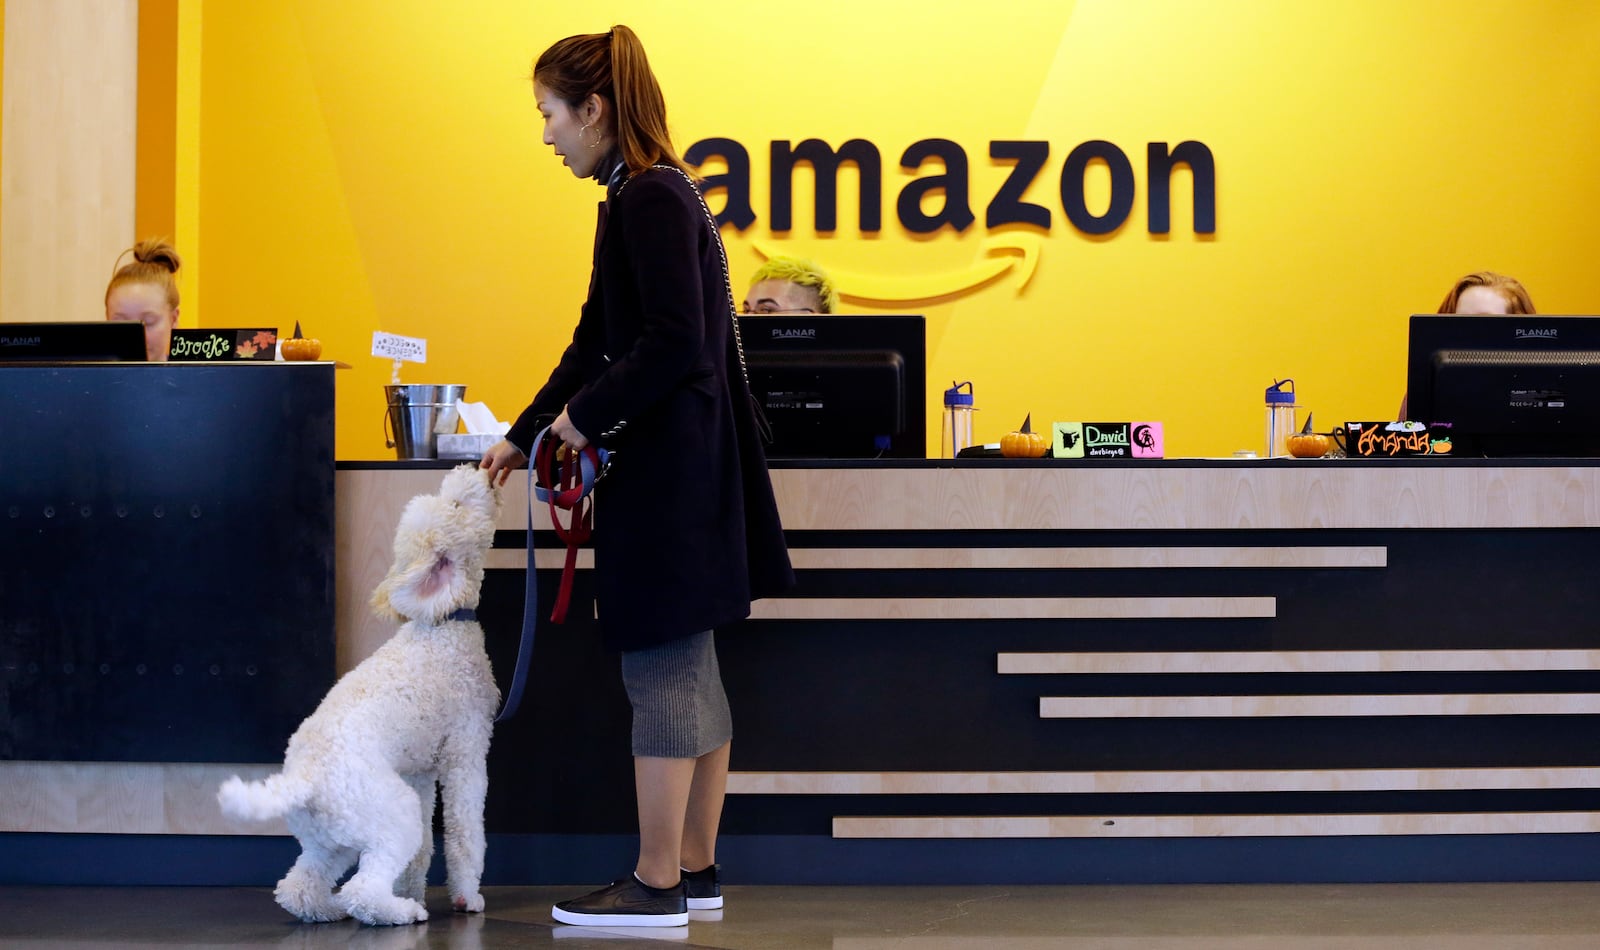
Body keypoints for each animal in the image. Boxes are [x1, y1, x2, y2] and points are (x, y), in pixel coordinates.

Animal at [216, 463, 496, 921]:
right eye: (456, 505)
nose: (474, 468)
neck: (441, 627)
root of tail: (303, 779)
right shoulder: (465, 752)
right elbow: (464, 834)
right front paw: (465, 898)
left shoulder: (419, 771)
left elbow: (424, 848)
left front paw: (414, 888)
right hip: (390, 813)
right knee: (361, 889)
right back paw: (401, 913)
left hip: (333, 835)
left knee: (298, 887)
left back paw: (333, 909)